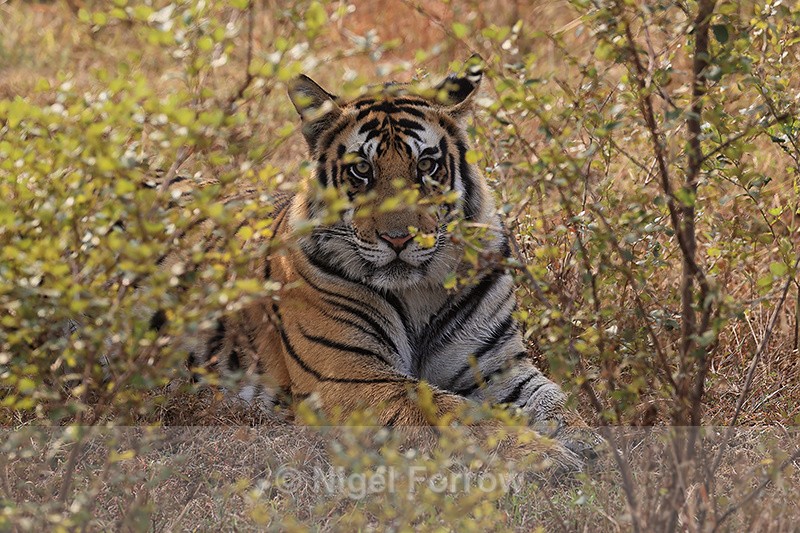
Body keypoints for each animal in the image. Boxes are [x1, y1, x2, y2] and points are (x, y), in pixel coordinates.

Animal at [165, 57, 601, 470]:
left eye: (426, 166)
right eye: (361, 169)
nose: (398, 238)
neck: (418, 291)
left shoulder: (499, 367)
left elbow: (553, 401)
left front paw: (594, 442)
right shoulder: (352, 376)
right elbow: (456, 415)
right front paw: (544, 455)